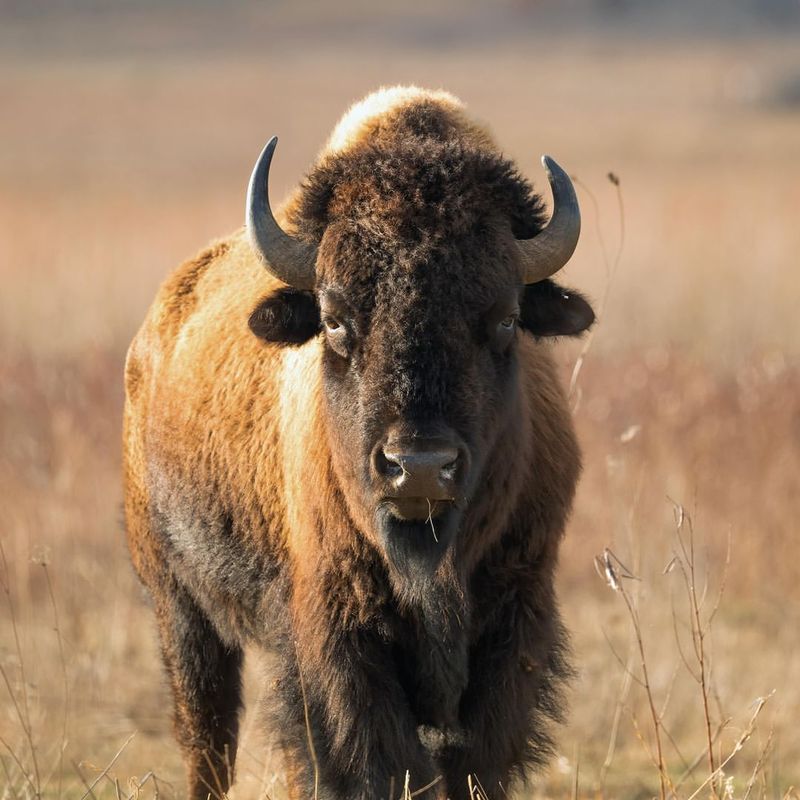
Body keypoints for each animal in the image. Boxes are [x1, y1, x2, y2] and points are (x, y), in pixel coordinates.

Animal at [123, 87, 592, 800]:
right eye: (335, 319)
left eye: (507, 318)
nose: (418, 468)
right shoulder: (339, 637)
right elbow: (381, 758)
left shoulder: (515, 619)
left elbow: (472, 761)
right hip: (178, 604)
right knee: (207, 737)